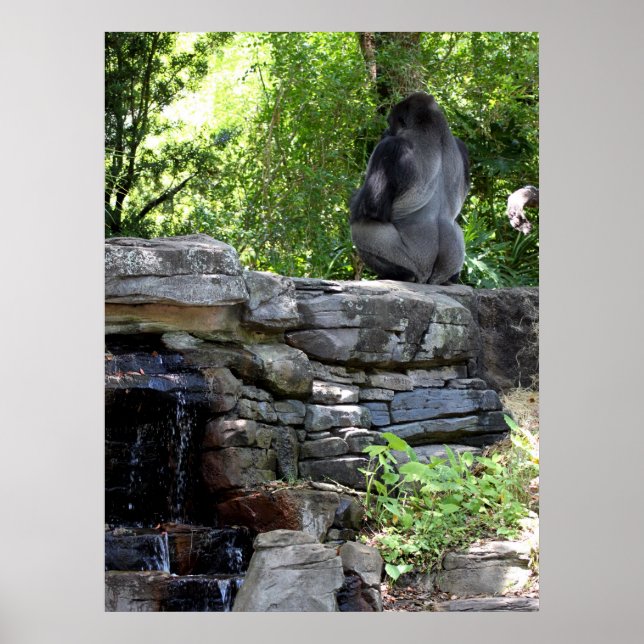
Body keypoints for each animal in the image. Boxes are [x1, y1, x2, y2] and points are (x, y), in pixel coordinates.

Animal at [349, 92, 470, 285]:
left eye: (390, 123)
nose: (385, 132)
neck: (434, 130)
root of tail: (429, 277)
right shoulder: (462, 146)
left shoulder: (390, 147)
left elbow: (371, 209)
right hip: (451, 261)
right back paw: (451, 279)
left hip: (416, 262)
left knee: (362, 228)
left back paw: (401, 274)